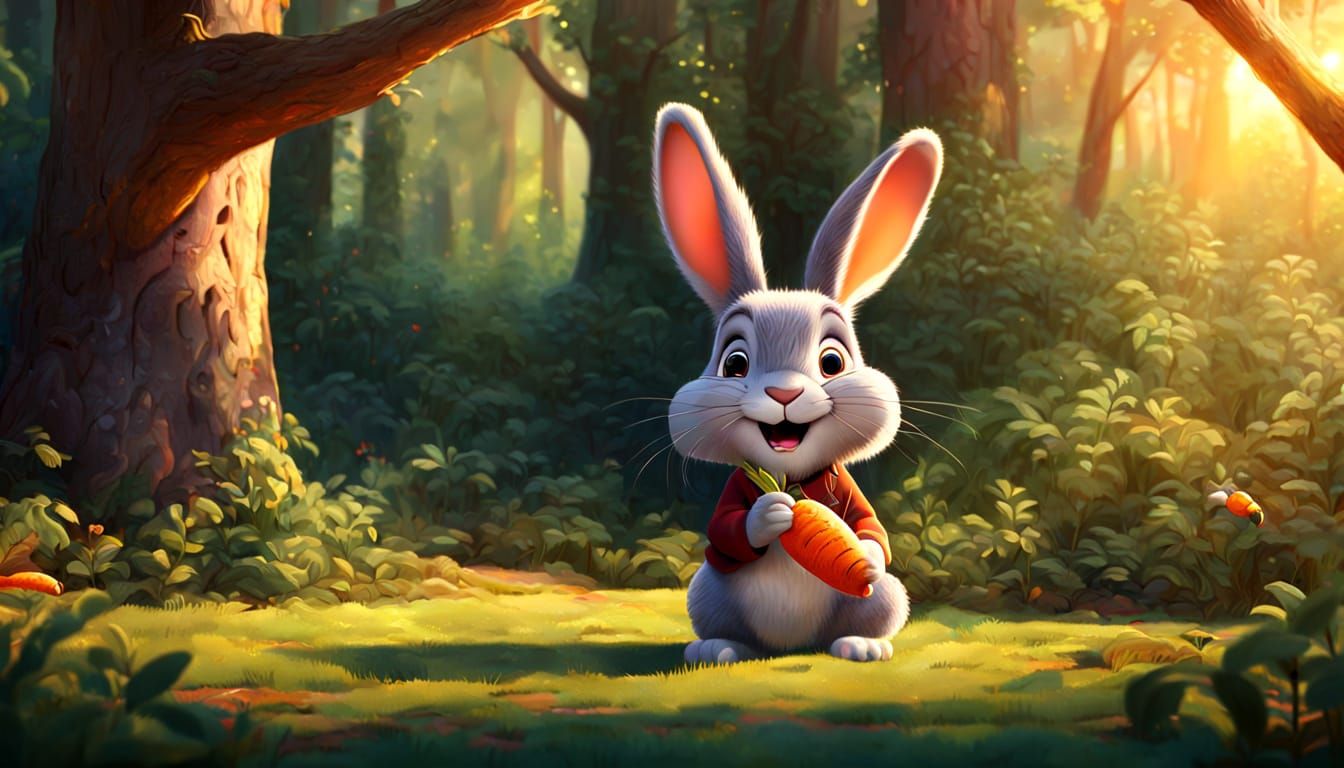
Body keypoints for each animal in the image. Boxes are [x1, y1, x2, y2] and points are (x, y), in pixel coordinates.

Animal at [652, 103, 943, 664]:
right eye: (735, 363)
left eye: (832, 361)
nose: (783, 393)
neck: (791, 478)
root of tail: (791, 646)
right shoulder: (736, 495)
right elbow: (728, 529)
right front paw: (770, 514)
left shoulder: (849, 495)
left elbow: (873, 531)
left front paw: (862, 554)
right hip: (707, 590)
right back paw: (718, 649)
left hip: (887, 597)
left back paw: (861, 647)